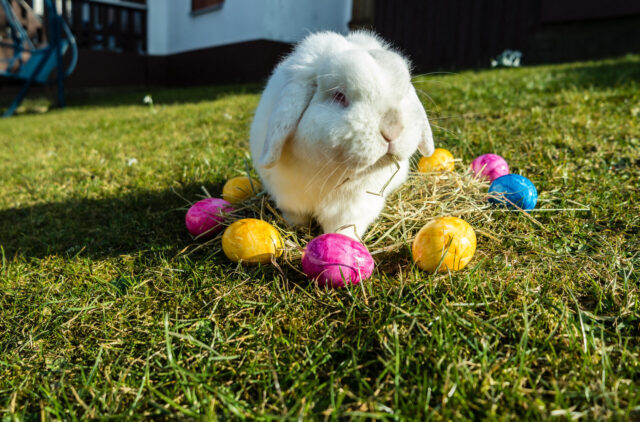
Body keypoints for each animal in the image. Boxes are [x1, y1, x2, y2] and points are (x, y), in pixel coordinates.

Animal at [250, 31, 434, 240]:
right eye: (339, 96)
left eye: (402, 95)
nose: (392, 129)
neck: (328, 173)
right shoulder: (289, 199)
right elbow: (295, 217)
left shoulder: (354, 209)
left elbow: (345, 228)